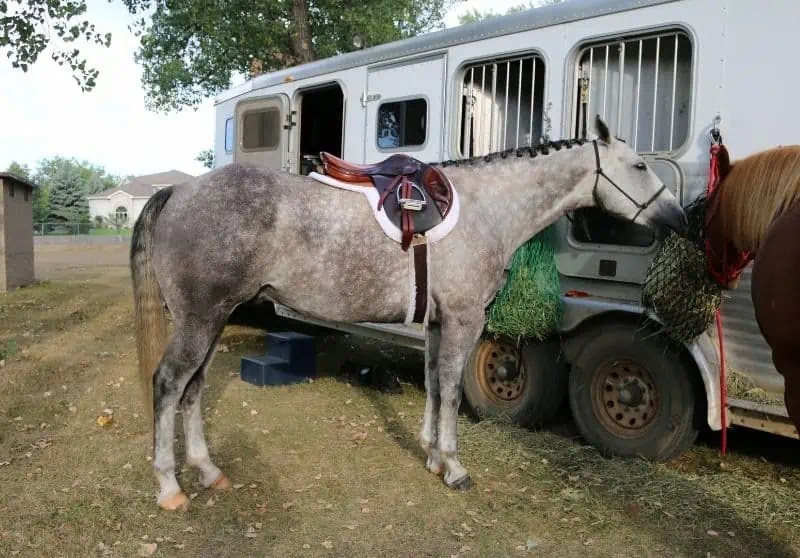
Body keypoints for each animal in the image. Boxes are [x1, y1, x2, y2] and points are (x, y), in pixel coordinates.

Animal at [130, 117, 687, 511]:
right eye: (639, 166)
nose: (678, 217)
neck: (487, 208)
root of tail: (180, 191)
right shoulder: (464, 319)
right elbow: (451, 393)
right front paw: (455, 467)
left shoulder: (439, 322)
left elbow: (436, 385)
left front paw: (432, 456)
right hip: (200, 321)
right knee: (168, 384)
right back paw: (169, 486)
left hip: (213, 319)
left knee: (193, 388)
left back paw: (207, 471)